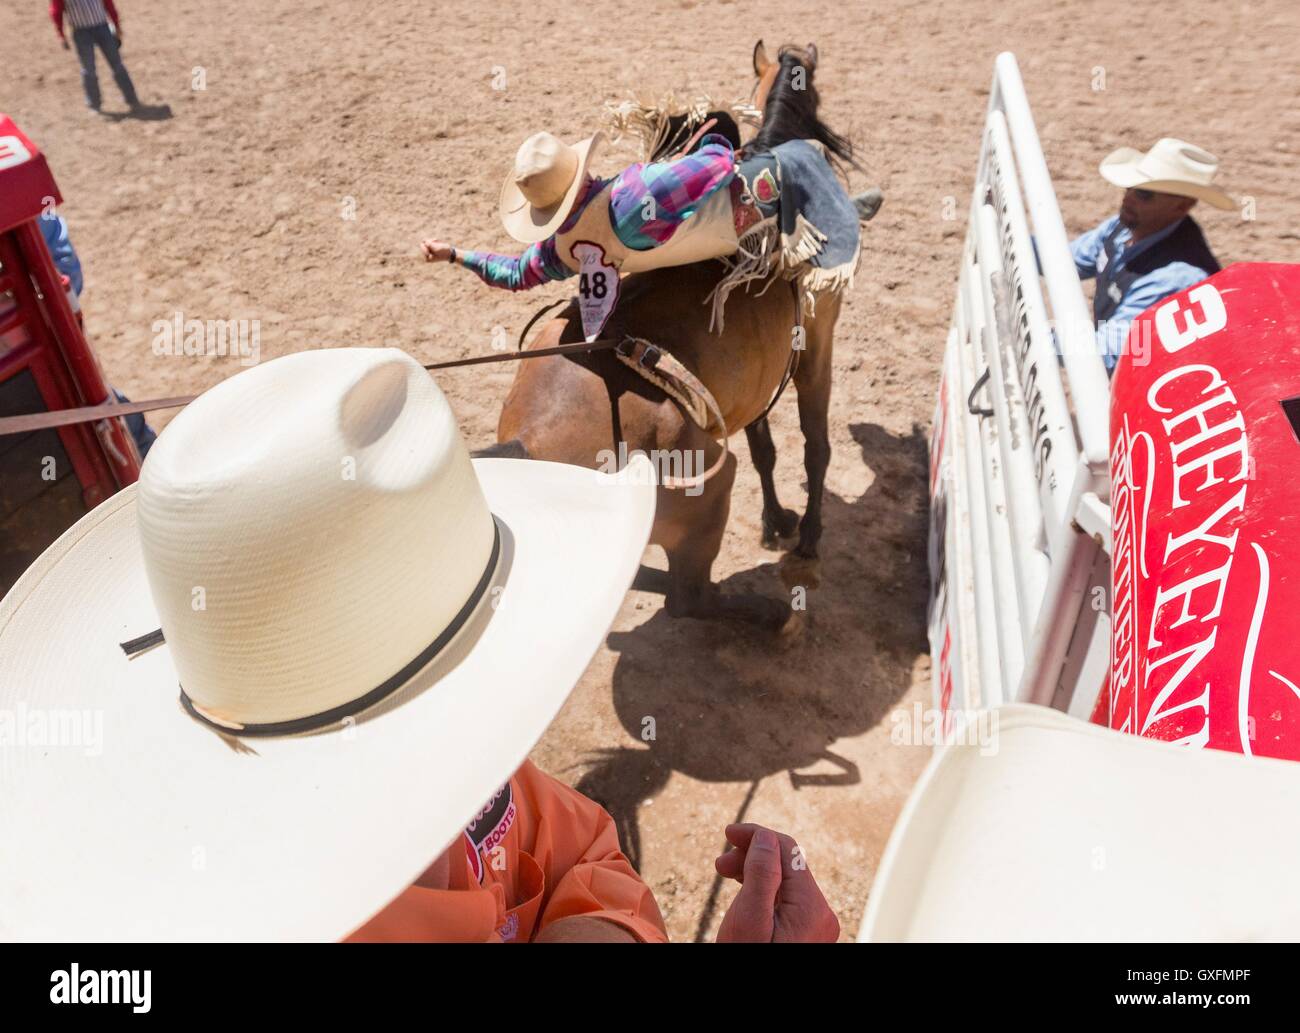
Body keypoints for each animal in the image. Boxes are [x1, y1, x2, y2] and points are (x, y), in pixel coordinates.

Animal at [491, 42, 857, 631]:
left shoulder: (755, 383)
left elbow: (766, 447)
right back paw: (776, 615)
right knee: (690, 597)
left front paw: (776, 520)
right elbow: (815, 446)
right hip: (707, 492)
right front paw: (806, 538)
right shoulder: (816, 346)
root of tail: (530, 447)